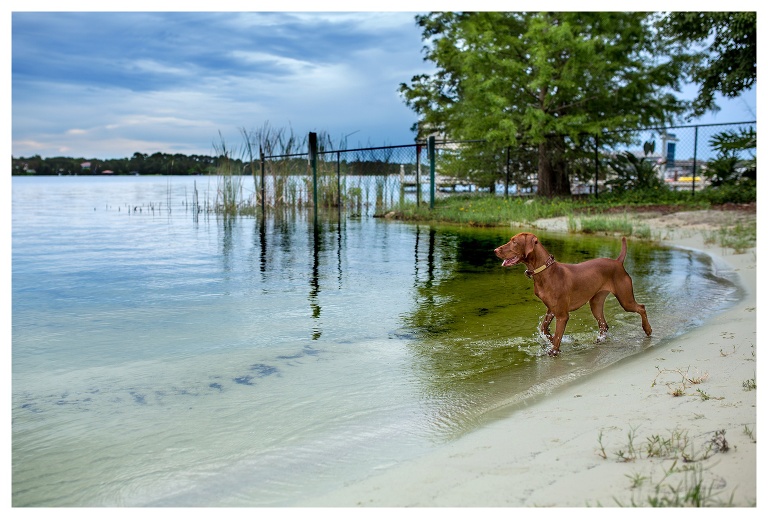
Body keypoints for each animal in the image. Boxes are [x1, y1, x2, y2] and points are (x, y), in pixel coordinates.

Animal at [496, 233, 652, 358]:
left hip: (625, 300)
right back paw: (599, 341)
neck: (545, 272)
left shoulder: (562, 315)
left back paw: (648, 329)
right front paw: (553, 340)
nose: (495, 250)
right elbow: (544, 329)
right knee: (604, 325)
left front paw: (554, 351)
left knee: (642, 307)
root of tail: (618, 262)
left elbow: (557, 337)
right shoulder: (551, 309)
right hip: (596, 303)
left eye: (514, 242)